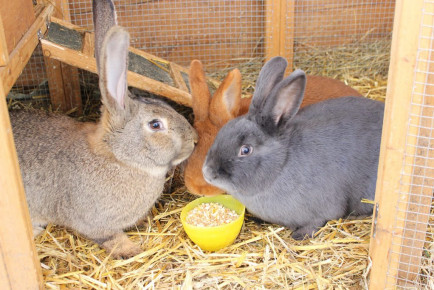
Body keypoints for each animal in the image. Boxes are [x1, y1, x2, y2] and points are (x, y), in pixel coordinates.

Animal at [10, 0, 197, 260]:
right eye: (155, 124)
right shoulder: (94, 223)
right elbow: (111, 238)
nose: (194, 140)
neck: (119, 158)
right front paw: (132, 250)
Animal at [203, 56, 384, 240]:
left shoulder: (323, 207)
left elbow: (318, 221)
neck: (281, 165)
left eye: (245, 150)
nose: (207, 173)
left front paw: (300, 235)